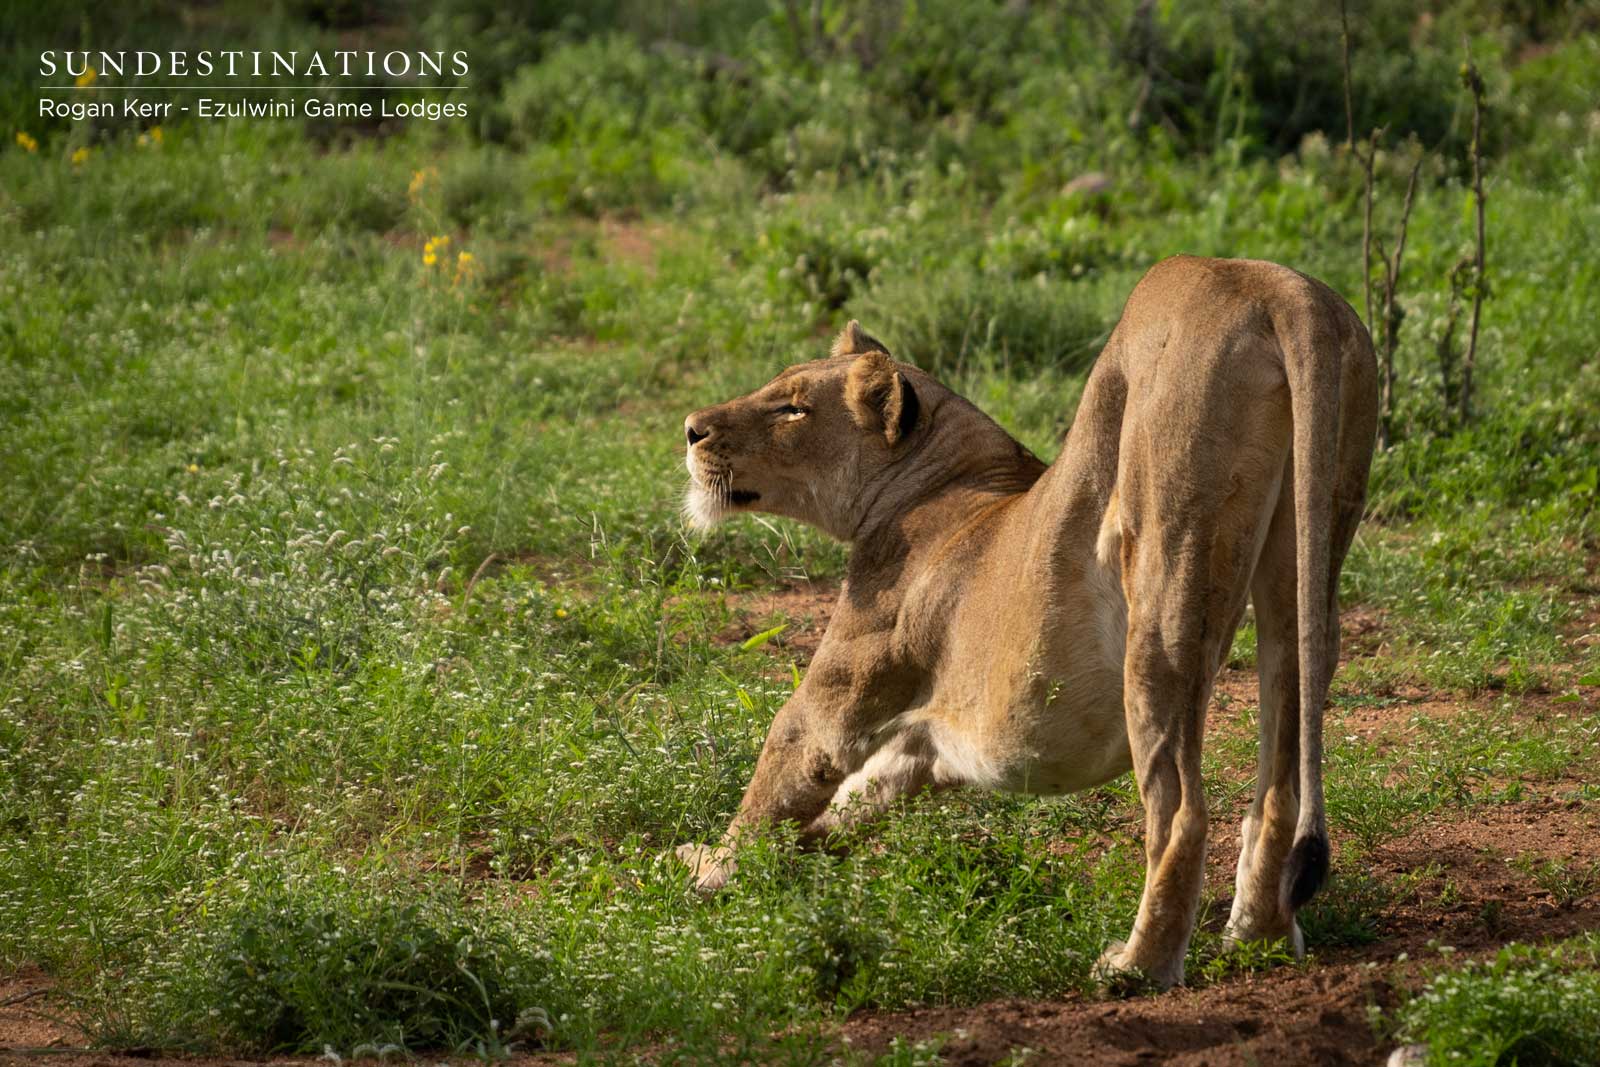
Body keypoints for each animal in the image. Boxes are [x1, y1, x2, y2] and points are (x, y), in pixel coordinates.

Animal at [676, 255, 1378, 990]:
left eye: (792, 407)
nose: (691, 427)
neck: (943, 478)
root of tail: (1274, 285)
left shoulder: (841, 692)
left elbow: (779, 775)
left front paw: (708, 872)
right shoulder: (927, 740)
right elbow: (859, 794)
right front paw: (789, 857)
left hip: (1165, 570)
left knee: (1181, 808)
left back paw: (1136, 967)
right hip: (1310, 551)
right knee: (1282, 774)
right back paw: (1256, 936)